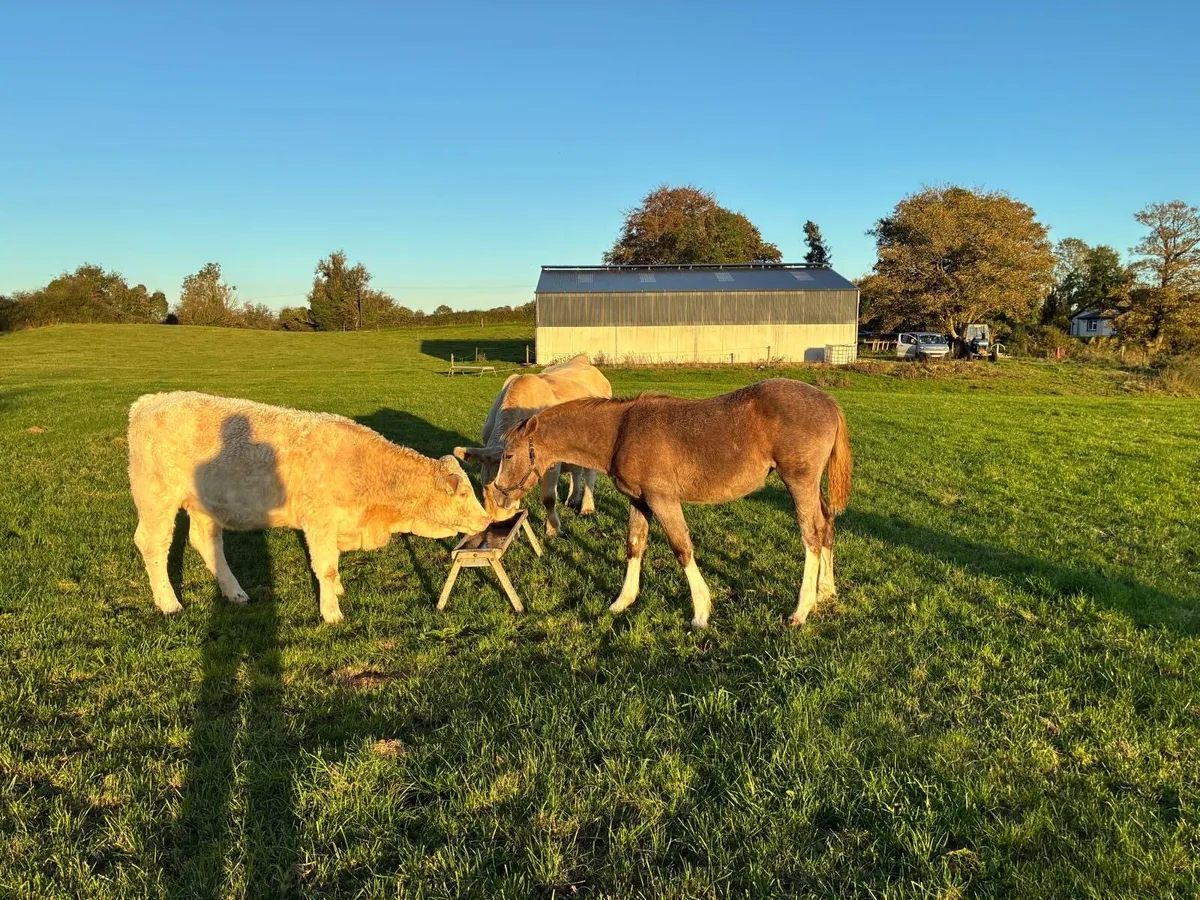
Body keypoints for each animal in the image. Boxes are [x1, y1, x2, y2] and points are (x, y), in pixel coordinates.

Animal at [486, 379, 852, 628]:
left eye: (509, 455)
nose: (500, 492)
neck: (621, 431)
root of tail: (829, 402)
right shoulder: (639, 501)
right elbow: (634, 545)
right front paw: (623, 601)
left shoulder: (663, 500)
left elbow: (681, 547)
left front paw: (701, 611)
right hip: (811, 487)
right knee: (827, 525)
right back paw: (826, 590)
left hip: (799, 483)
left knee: (812, 535)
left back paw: (802, 609)